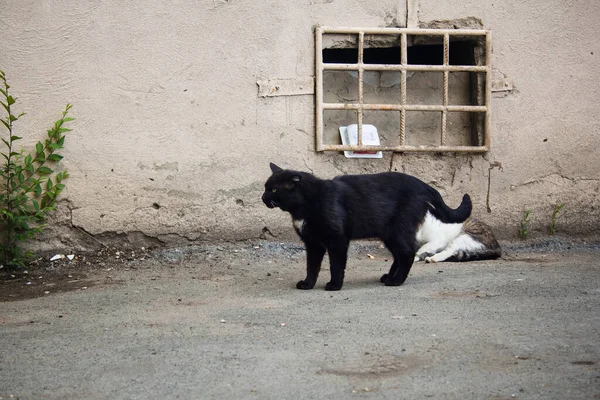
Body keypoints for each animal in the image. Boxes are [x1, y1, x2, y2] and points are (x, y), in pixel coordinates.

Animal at [262, 162, 502, 290]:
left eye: (273, 190)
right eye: (266, 188)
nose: (263, 197)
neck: (307, 204)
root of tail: (423, 184)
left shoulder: (337, 240)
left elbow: (336, 265)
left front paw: (335, 285)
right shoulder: (313, 243)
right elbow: (312, 266)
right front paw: (308, 284)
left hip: (398, 230)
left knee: (408, 253)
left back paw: (396, 281)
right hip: (390, 233)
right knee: (400, 255)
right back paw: (389, 277)